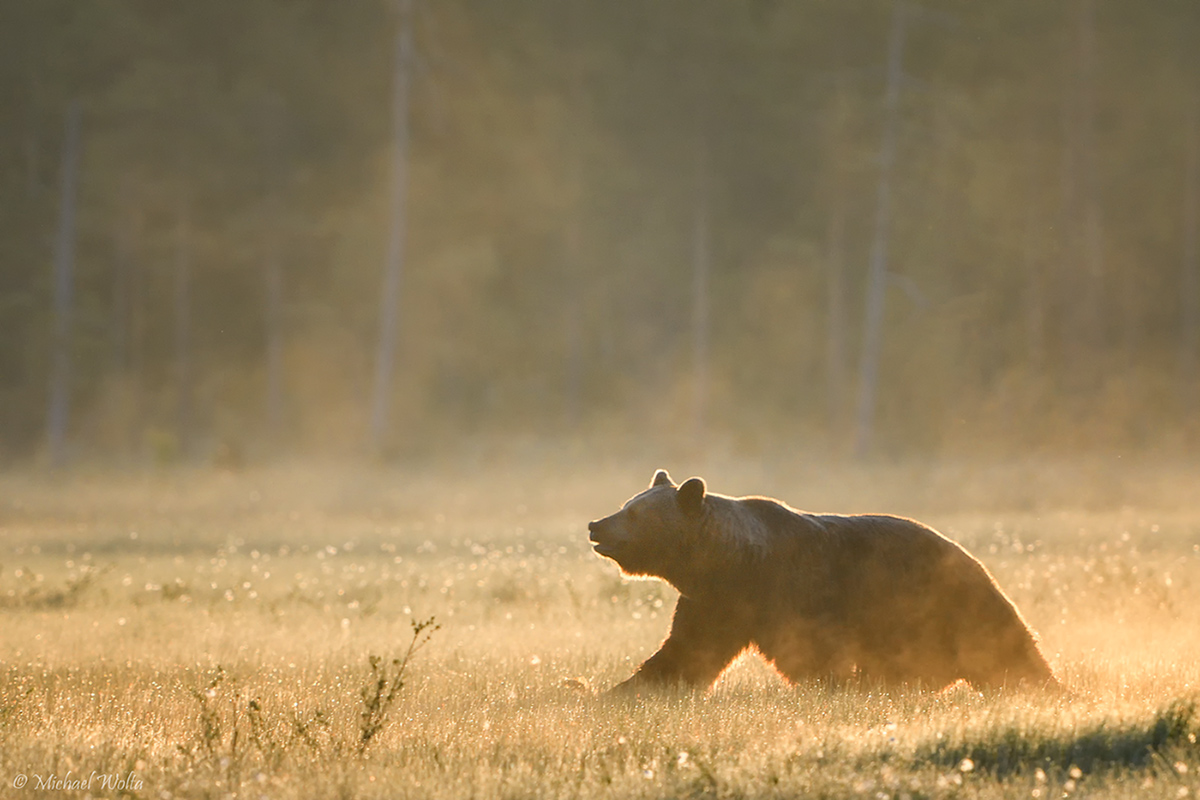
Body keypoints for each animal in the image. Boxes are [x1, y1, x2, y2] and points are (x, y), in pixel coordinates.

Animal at [585, 472, 1056, 690]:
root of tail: (977, 563)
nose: (596, 524)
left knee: (1007, 655)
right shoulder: (717, 604)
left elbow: (814, 654)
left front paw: (832, 687)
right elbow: (685, 650)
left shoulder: (795, 592)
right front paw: (626, 689)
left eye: (633, 513)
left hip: (944, 606)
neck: (733, 564)